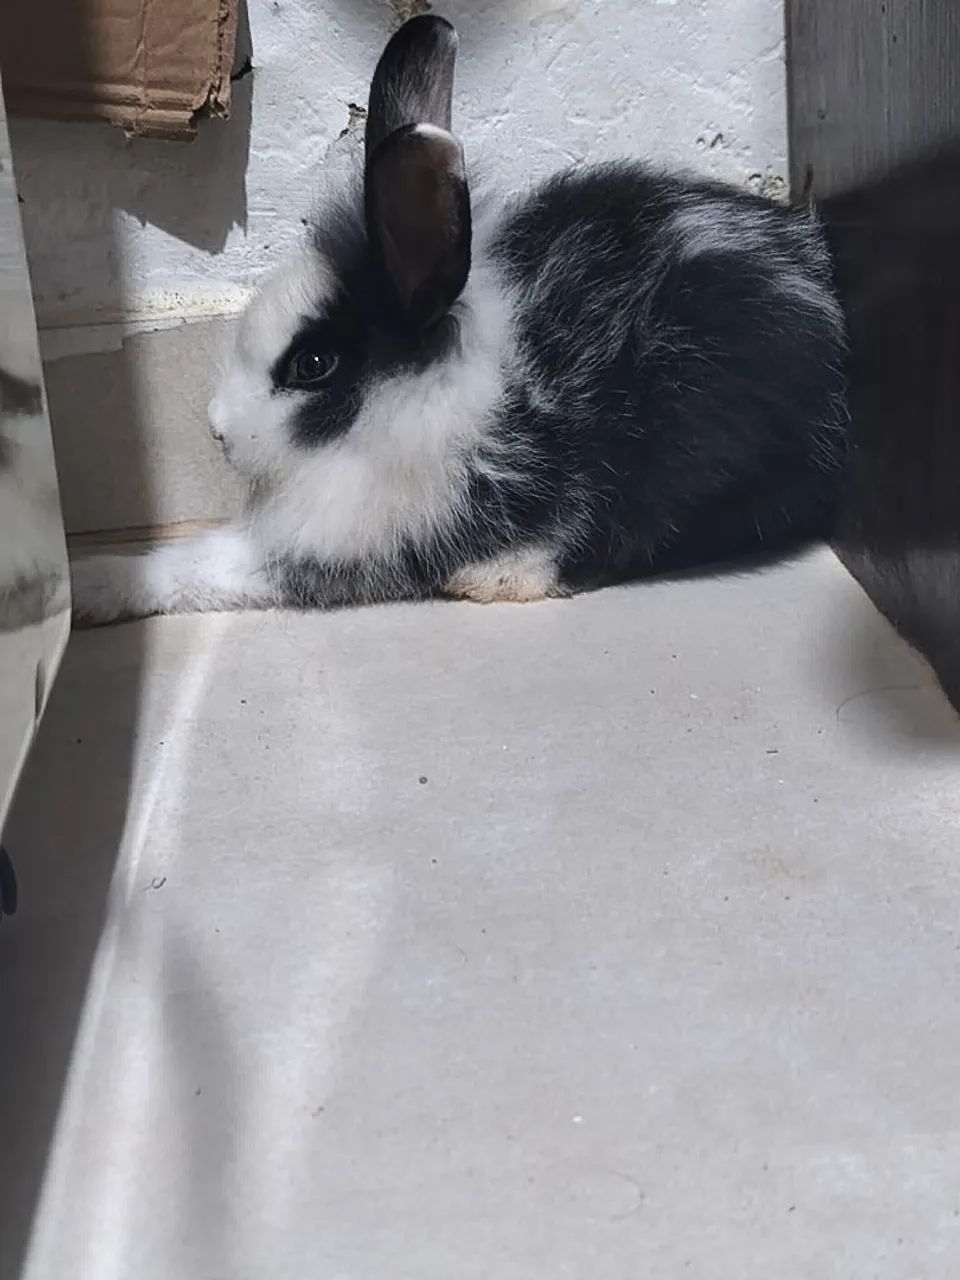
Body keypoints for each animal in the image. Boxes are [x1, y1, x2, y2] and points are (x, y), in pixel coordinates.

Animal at [71, 14, 848, 627]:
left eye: (312, 366)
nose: (218, 430)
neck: (412, 394)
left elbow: (207, 566)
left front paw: (91, 587)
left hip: (703, 440)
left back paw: (505, 574)